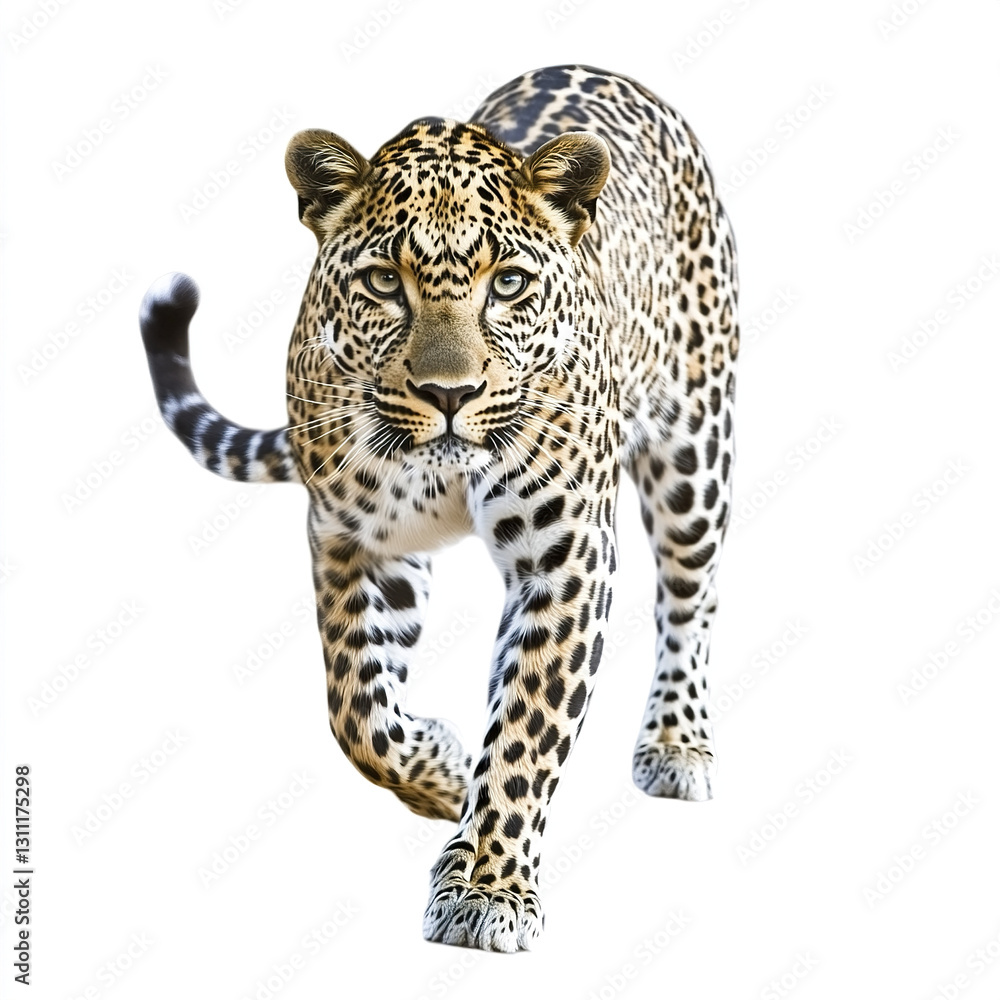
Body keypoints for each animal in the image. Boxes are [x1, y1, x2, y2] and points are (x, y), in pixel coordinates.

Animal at [139, 64, 738, 953]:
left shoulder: (565, 558)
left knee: (690, 599)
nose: (448, 394)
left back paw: (677, 742)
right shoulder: (358, 540)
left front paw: (488, 890)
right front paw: (443, 774)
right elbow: (355, 710)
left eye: (509, 284)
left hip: (694, 445)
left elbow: (527, 727)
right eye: (386, 282)